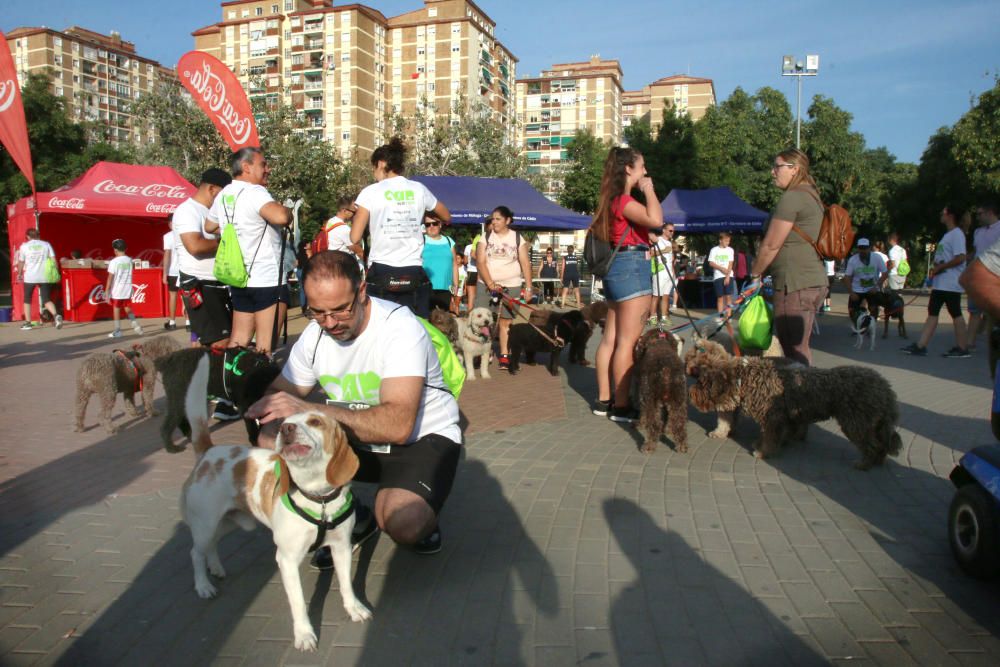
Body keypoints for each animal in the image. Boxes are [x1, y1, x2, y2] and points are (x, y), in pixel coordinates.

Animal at [182, 410, 374, 656]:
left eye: (315, 421)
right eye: (283, 423)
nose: (286, 429)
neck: (318, 497)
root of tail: (209, 451)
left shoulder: (341, 548)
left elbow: (346, 584)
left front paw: (354, 608)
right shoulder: (287, 560)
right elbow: (299, 602)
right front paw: (304, 635)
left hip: (227, 522)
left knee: (211, 546)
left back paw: (215, 568)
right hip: (205, 524)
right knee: (195, 553)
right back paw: (203, 586)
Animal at [684, 342, 904, 468]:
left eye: (703, 383)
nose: (690, 393)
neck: (745, 378)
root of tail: (885, 387)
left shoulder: (772, 419)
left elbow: (768, 437)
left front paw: (762, 451)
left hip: (856, 423)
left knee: (872, 444)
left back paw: (864, 463)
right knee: (881, 444)